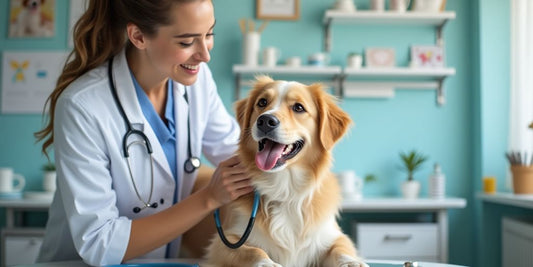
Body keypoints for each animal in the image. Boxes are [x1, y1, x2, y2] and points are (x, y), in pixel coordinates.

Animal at [202, 76, 368, 267]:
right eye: (262, 102)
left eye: (298, 107)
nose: (265, 121)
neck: (285, 188)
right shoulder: (223, 241)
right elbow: (252, 251)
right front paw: (267, 264)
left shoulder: (332, 235)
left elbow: (341, 249)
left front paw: (352, 262)